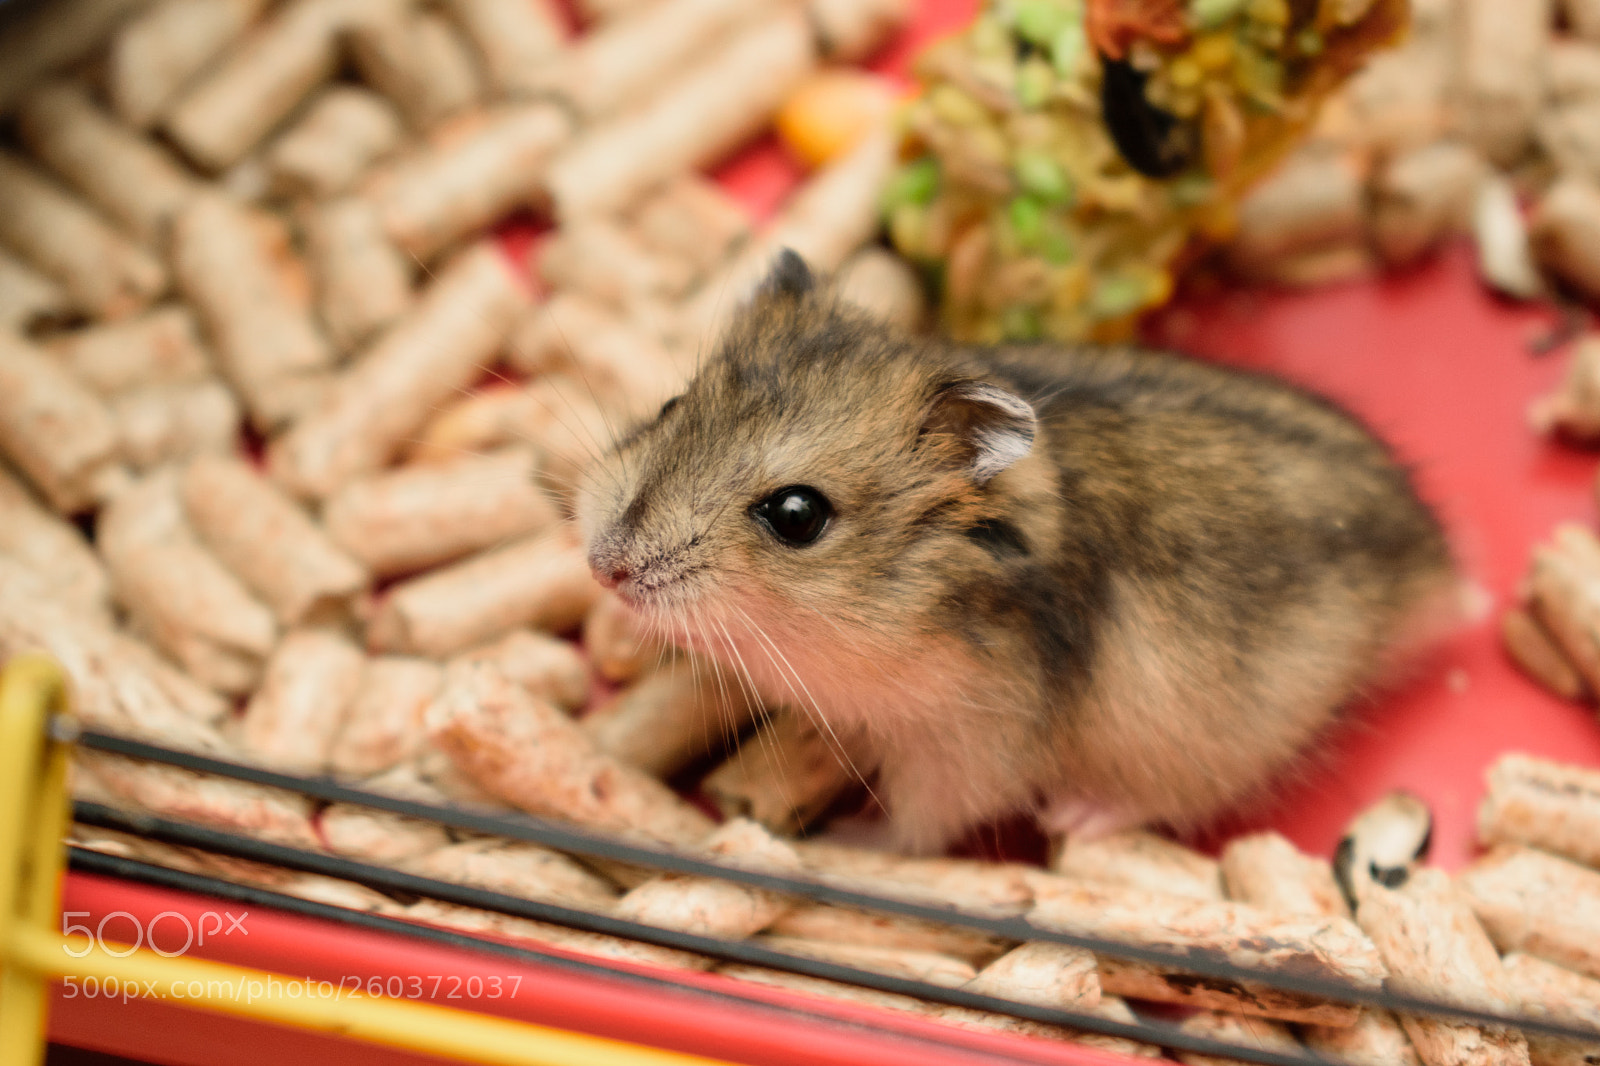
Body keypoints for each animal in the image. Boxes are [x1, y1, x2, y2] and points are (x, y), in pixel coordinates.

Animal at [578, 250, 1459, 854]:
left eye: (796, 516)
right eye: (672, 404)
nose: (604, 568)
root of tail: (1436, 565)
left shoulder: (962, 749)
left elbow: (915, 827)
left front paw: (842, 843)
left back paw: (1079, 814)